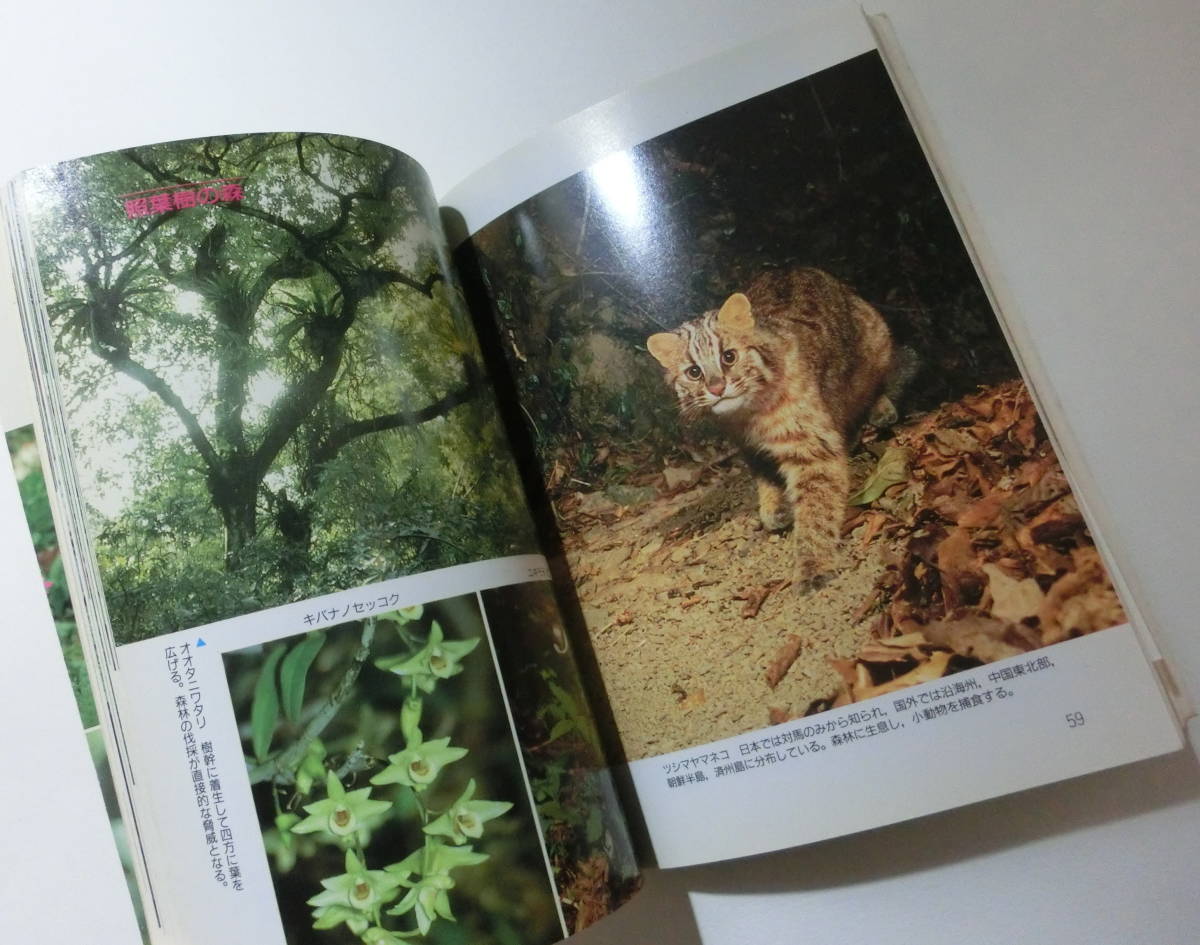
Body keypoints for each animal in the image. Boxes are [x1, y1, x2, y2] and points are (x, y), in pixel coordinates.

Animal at [648, 267, 902, 590]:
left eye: (729, 356)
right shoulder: (748, 446)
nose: (717, 388)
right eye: (694, 372)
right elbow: (765, 477)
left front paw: (812, 564)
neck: (749, 415)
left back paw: (878, 410)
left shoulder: (812, 448)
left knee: (872, 385)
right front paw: (772, 507)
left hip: (877, 336)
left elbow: (816, 509)